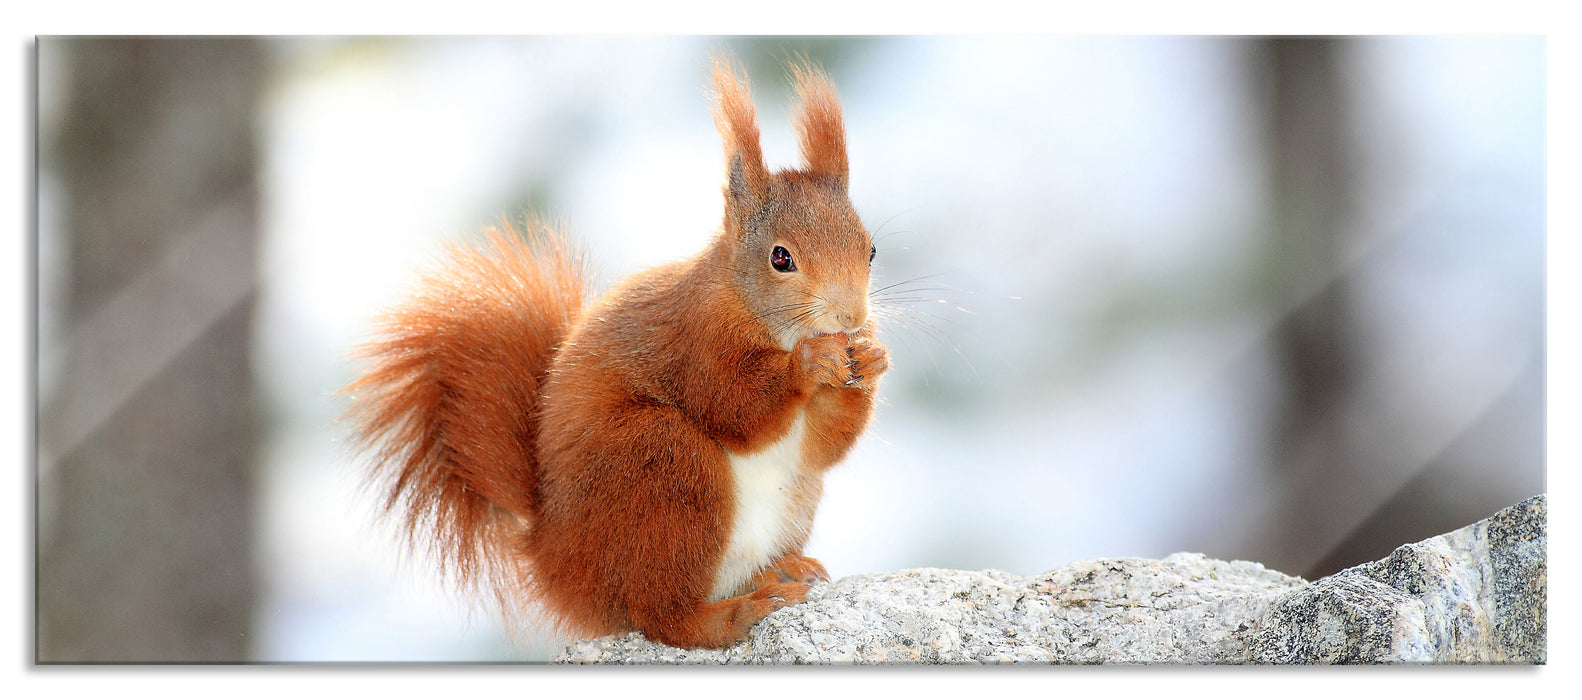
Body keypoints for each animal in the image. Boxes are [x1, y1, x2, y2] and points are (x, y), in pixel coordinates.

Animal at [343, 57, 889, 650]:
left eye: (871, 249)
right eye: (781, 257)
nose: (851, 317)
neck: (761, 315)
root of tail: (555, 563)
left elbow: (823, 447)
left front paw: (873, 359)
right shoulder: (695, 340)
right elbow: (735, 406)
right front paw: (808, 365)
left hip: (784, 500)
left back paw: (781, 570)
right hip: (661, 466)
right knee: (663, 616)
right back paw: (736, 613)